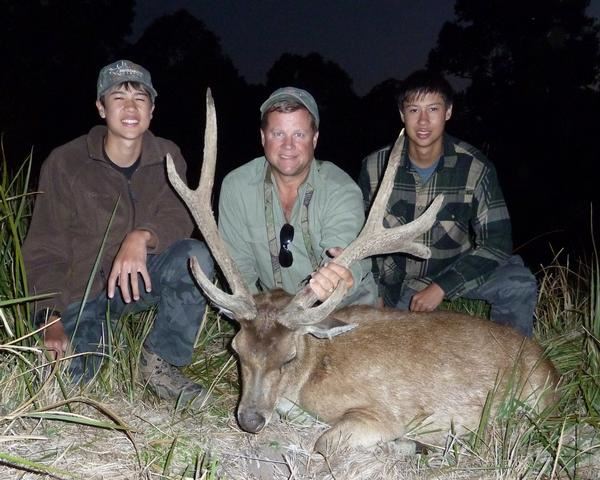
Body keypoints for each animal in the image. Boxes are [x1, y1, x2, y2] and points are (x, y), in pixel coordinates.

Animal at [166, 90, 559, 455]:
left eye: (288, 358)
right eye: (236, 350)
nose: (249, 420)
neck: (313, 364)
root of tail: (552, 369)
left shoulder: (381, 412)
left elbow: (323, 442)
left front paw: (409, 442)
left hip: (531, 405)